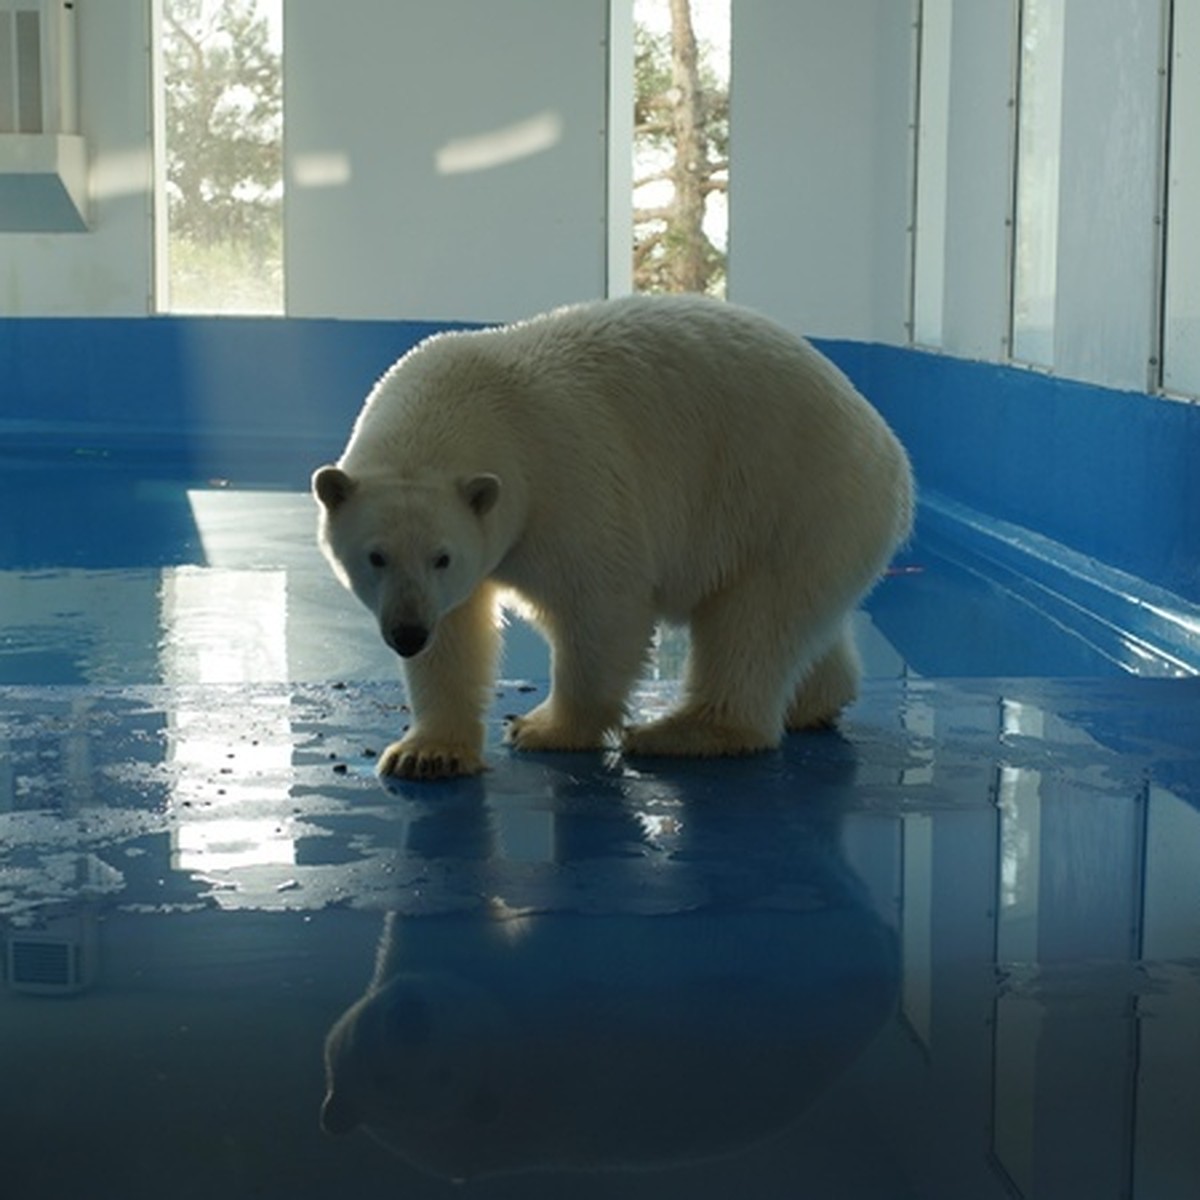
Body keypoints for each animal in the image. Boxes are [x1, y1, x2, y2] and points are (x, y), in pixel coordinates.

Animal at [314, 292, 912, 777]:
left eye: (442, 557)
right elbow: (457, 633)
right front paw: (427, 753)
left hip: (793, 500)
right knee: (799, 619)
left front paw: (547, 728)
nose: (408, 633)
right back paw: (816, 701)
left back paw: (682, 731)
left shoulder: (566, 482)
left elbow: (601, 603)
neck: (469, 400)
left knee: (753, 621)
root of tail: (892, 457)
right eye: (375, 557)